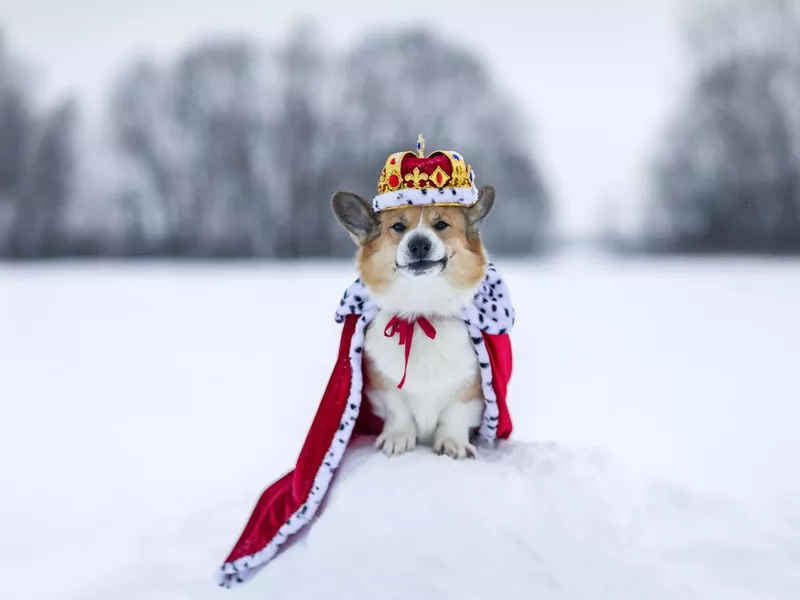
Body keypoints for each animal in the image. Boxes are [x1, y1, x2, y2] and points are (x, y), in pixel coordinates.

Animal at [330, 185, 494, 458]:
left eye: (441, 224)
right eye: (398, 227)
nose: (419, 244)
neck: (421, 313)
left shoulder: (470, 387)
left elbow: (455, 415)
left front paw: (453, 443)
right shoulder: (383, 383)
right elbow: (398, 411)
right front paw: (397, 438)